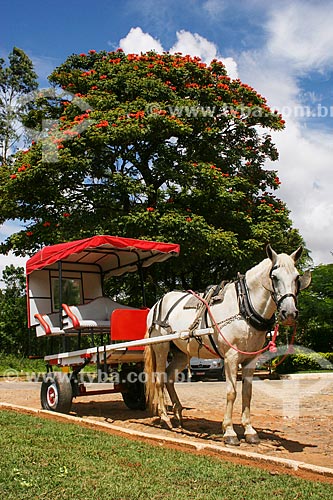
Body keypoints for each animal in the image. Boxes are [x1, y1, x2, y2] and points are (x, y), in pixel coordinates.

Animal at [144, 246, 310, 446]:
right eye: (274, 277)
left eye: (297, 277)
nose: (289, 313)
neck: (243, 306)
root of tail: (155, 306)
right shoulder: (231, 357)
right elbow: (232, 392)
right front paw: (229, 432)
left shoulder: (250, 359)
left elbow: (247, 392)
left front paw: (249, 430)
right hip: (160, 347)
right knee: (159, 379)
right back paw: (164, 418)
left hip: (182, 353)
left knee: (169, 377)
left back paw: (177, 414)